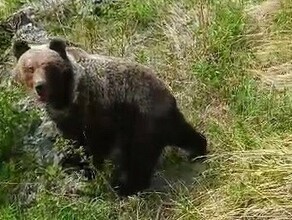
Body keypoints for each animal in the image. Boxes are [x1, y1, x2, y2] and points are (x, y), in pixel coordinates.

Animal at [11, 37, 208, 196]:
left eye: (48, 66)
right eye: (29, 68)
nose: (40, 86)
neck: (66, 97)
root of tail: (166, 93)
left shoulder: (98, 110)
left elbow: (95, 144)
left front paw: (89, 169)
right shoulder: (65, 119)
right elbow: (74, 141)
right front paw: (72, 161)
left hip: (141, 119)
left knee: (139, 156)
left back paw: (126, 186)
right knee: (182, 133)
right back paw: (197, 149)